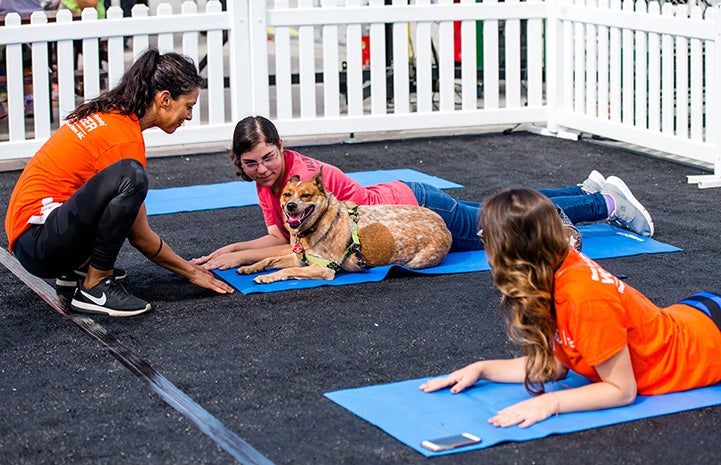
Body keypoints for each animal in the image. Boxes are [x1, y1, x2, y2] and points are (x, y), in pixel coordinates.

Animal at [236, 168, 450, 282]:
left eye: (306, 195)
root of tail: (443, 224)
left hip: (417, 261)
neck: (316, 226)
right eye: (287, 194)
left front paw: (267, 277)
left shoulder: (324, 268)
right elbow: (270, 259)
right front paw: (251, 267)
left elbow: (287, 271)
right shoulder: (299, 258)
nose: (291, 206)